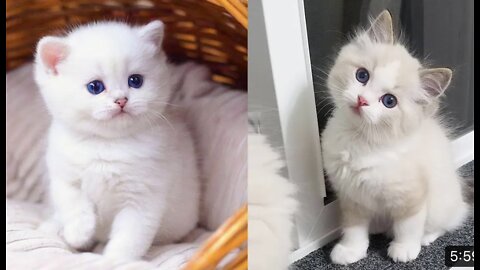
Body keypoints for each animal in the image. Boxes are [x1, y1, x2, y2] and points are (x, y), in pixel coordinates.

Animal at [33, 20, 199, 260]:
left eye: (135, 81)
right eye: (95, 87)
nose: (121, 100)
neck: (106, 145)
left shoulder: (142, 198)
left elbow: (130, 236)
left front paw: (113, 259)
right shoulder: (64, 177)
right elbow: (73, 204)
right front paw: (78, 234)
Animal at [320, 10, 470, 264]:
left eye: (389, 101)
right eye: (362, 76)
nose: (362, 100)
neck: (360, 141)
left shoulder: (411, 195)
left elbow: (407, 226)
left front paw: (404, 250)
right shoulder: (352, 198)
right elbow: (354, 229)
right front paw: (351, 250)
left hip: (441, 203)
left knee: (444, 223)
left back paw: (425, 238)